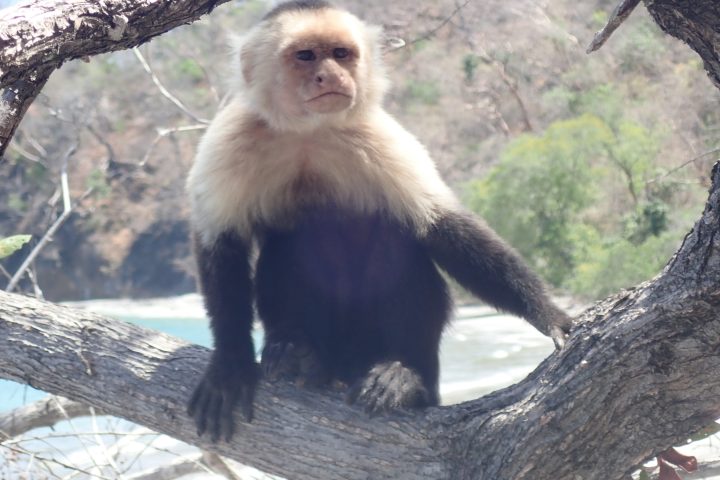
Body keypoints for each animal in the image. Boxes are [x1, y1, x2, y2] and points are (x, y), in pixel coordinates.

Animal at [186, 0, 572, 442]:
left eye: (341, 54)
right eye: (306, 56)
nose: (330, 75)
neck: (307, 134)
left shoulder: (377, 134)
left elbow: (440, 226)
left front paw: (548, 315)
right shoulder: (232, 137)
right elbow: (220, 244)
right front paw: (231, 362)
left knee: (399, 241)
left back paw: (406, 378)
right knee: (289, 245)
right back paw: (300, 354)